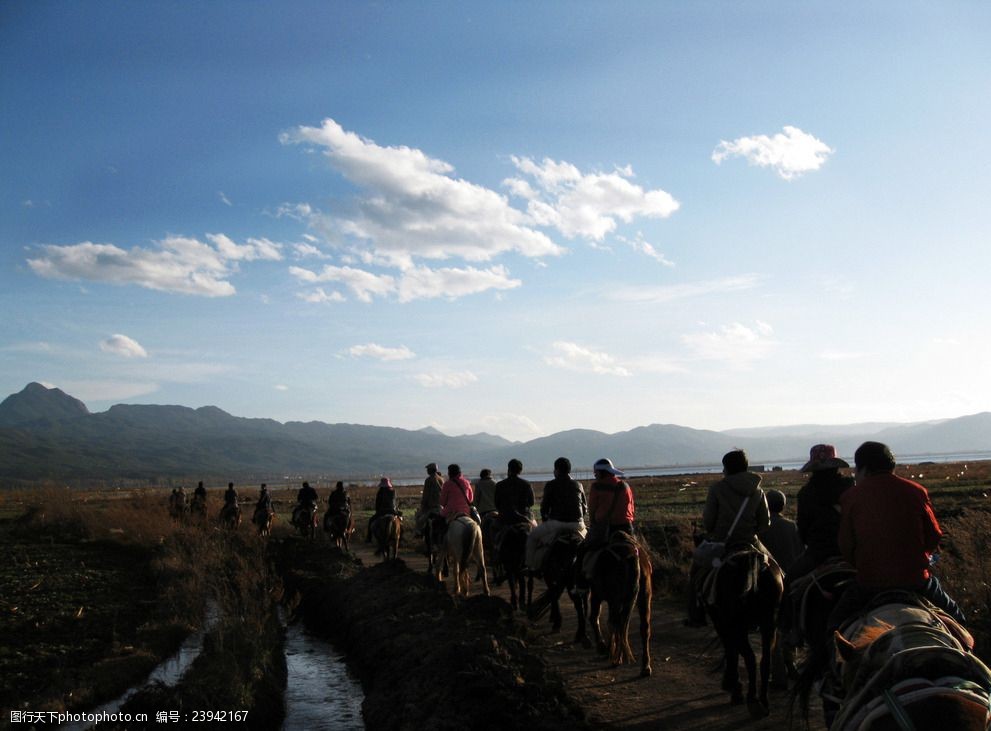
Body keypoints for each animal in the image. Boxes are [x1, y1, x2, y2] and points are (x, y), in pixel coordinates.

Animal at [576, 532, 656, 680]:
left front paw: (603, 647)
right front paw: (609, 649)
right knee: (642, 628)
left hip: (615, 597)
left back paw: (616, 659)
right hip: (644, 596)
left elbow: (595, 618)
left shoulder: (597, 595)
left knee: (616, 623)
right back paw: (645, 667)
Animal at [696, 548, 784, 716]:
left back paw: (752, 700)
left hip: (739, 628)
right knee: (764, 660)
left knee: (749, 658)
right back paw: (763, 700)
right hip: (768, 626)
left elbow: (731, 651)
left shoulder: (723, 626)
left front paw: (733, 685)